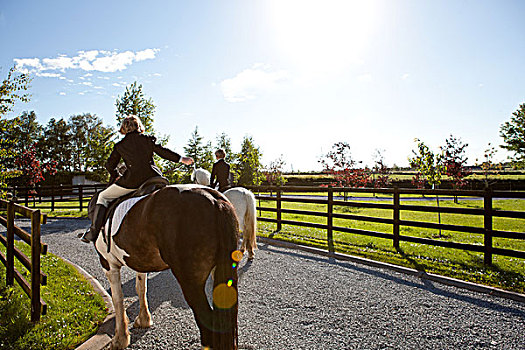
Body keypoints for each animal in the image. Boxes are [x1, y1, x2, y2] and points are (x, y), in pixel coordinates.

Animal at [88, 185, 239, 348]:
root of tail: (213, 200)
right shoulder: (140, 263)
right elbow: (141, 288)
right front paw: (144, 320)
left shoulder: (108, 263)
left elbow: (117, 298)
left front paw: (120, 339)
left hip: (191, 283)